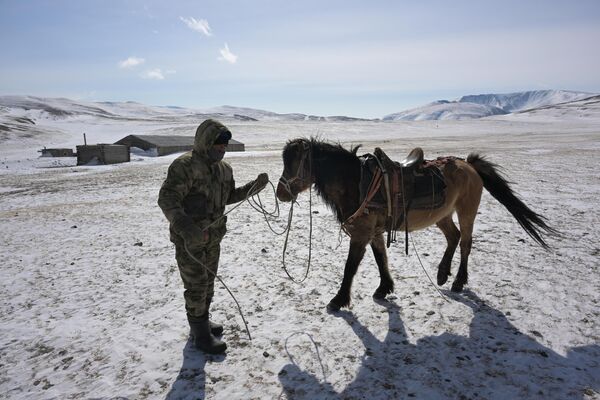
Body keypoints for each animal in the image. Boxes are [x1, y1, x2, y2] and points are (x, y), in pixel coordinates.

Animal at [276, 136, 556, 310]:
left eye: (294, 164)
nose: (280, 193)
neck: (356, 182)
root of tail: (468, 164)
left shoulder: (362, 233)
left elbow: (350, 267)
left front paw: (339, 299)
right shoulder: (374, 231)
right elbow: (381, 258)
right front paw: (384, 288)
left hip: (466, 211)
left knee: (465, 242)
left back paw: (457, 281)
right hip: (442, 214)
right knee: (453, 237)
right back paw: (442, 274)